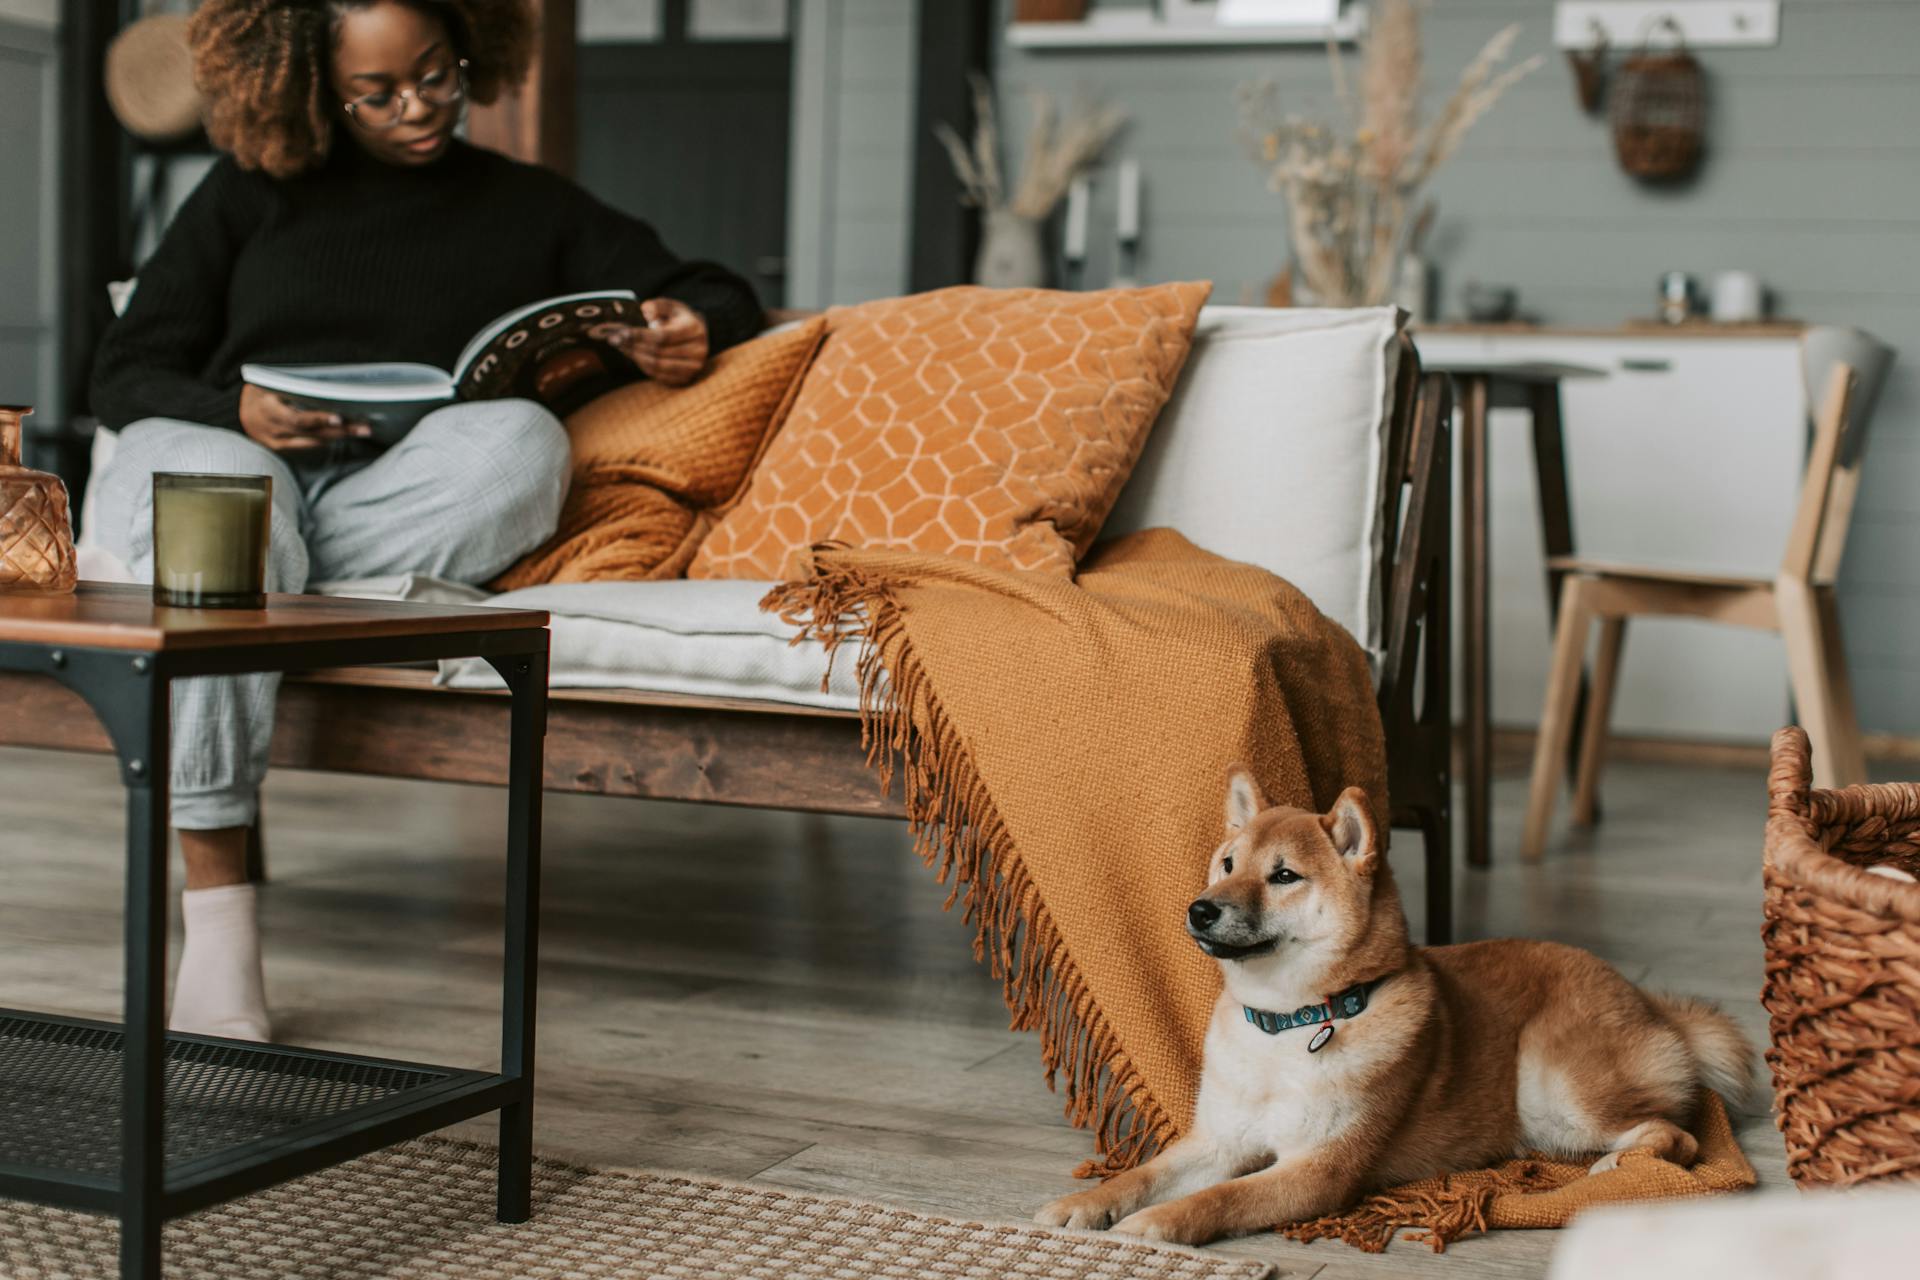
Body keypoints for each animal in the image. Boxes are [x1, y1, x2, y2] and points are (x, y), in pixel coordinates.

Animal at [1036, 767, 1758, 1243]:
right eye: (1227, 864)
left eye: (1284, 876)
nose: (1200, 909)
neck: (1286, 1025)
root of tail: (1649, 1004)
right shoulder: (1217, 1139)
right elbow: (1142, 1174)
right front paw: (1088, 1203)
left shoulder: (1317, 1172)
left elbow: (1219, 1200)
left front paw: (1155, 1223)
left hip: (1550, 1087)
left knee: (1676, 1135)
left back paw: (1615, 1167)